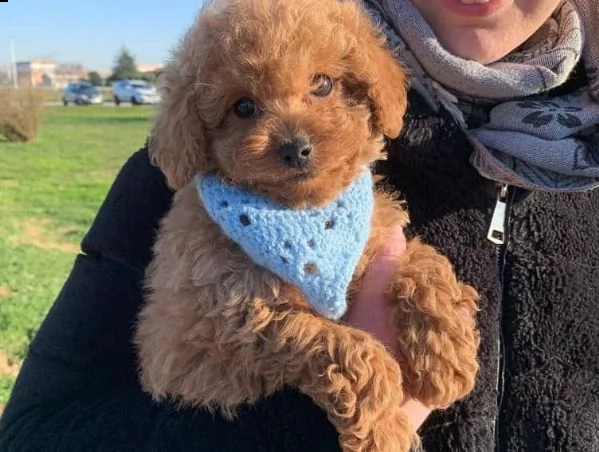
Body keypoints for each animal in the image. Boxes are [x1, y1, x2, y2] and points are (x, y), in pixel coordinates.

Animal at [134, 1, 480, 450]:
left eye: (323, 84)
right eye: (242, 107)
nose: (295, 148)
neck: (303, 215)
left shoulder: (375, 237)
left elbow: (425, 260)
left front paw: (446, 352)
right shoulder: (236, 319)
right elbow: (339, 343)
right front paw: (384, 427)